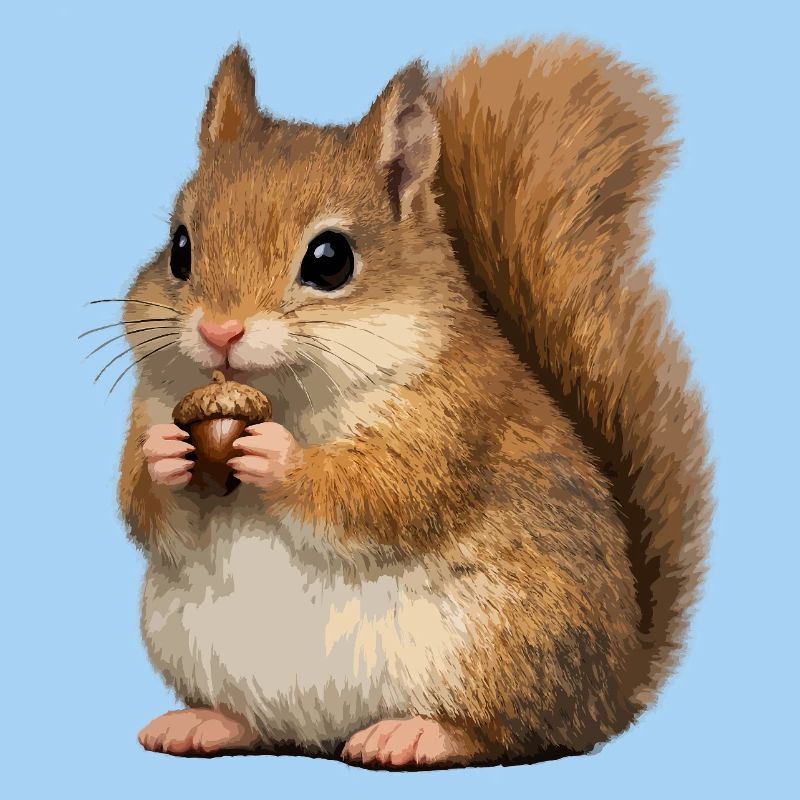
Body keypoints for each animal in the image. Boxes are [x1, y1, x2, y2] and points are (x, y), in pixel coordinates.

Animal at [115, 38, 712, 769]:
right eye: (179, 247)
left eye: (330, 259)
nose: (219, 332)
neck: (288, 395)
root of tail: (613, 688)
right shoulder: (152, 402)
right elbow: (144, 507)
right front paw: (164, 457)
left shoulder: (452, 417)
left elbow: (385, 491)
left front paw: (279, 458)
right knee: (261, 725)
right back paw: (206, 723)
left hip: (502, 645)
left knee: (511, 734)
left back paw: (416, 734)